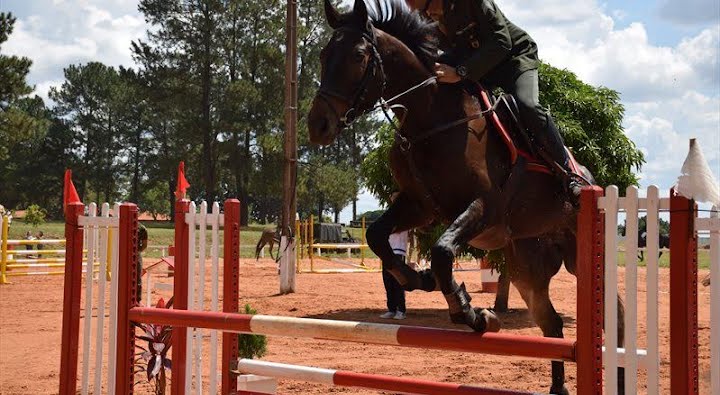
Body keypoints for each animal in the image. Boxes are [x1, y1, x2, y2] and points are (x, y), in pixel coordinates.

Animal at [308, 1, 624, 394]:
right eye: (323, 55)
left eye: (358, 55)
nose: (317, 126)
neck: (430, 119)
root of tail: (595, 183)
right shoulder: (420, 206)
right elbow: (376, 235)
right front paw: (418, 279)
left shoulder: (483, 208)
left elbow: (443, 253)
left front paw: (469, 311)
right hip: (527, 268)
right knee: (551, 324)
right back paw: (557, 387)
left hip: (585, 257)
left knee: (613, 315)